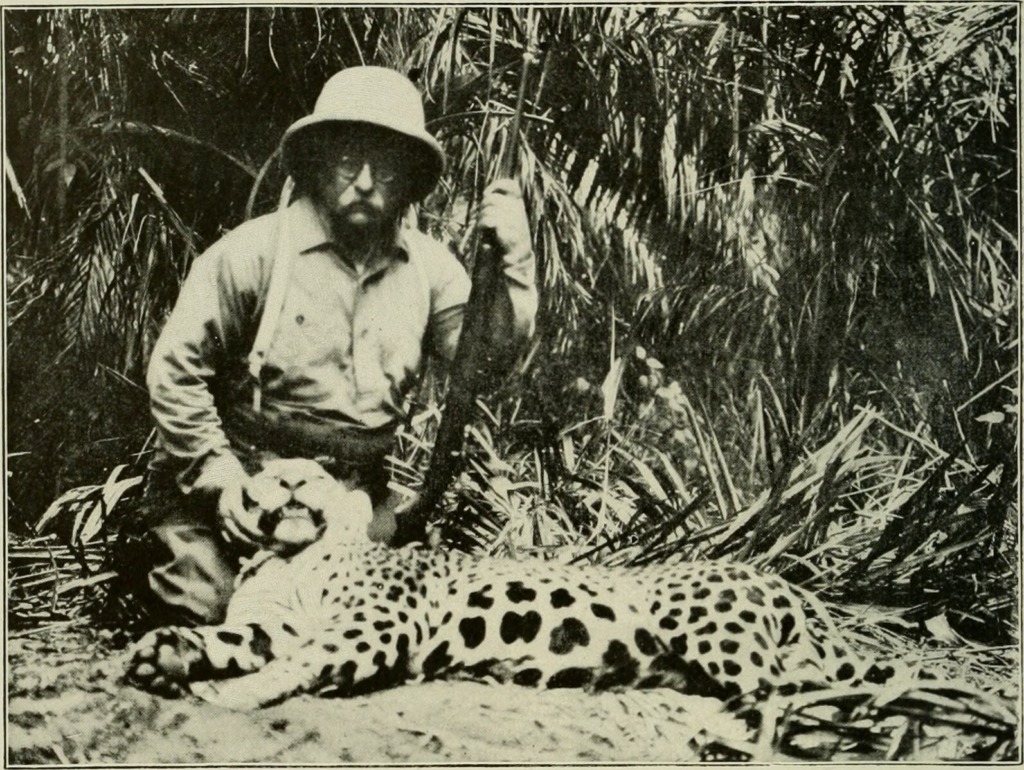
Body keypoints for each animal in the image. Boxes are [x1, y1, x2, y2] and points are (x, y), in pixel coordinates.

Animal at [125, 459, 901, 711]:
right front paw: (162, 654)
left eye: (314, 476)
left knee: (797, 688)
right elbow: (227, 636)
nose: (289, 482)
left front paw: (228, 694)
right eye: (268, 476)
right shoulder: (272, 622)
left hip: (707, 621)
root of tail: (789, 585)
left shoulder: (372, 624)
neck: (290, 557)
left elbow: (303, 660)